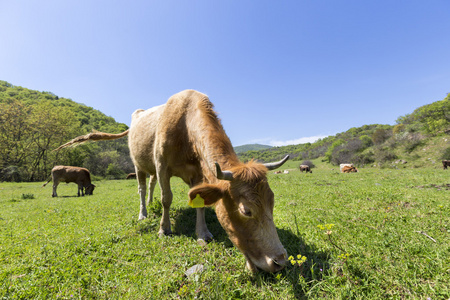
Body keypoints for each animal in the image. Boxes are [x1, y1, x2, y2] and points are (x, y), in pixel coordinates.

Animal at [55, 88, 288, 272]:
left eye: (272, 203)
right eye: (246, 211)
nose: (280, 261)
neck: (185, 125)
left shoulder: (197, 173)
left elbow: (199, 204)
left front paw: (202, 232)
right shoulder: (162, 165)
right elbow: (166, 198)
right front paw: (164, 228)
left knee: (150, 186)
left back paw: (151, 204)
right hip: (139, 165)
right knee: (142, 189)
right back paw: (143, 212)